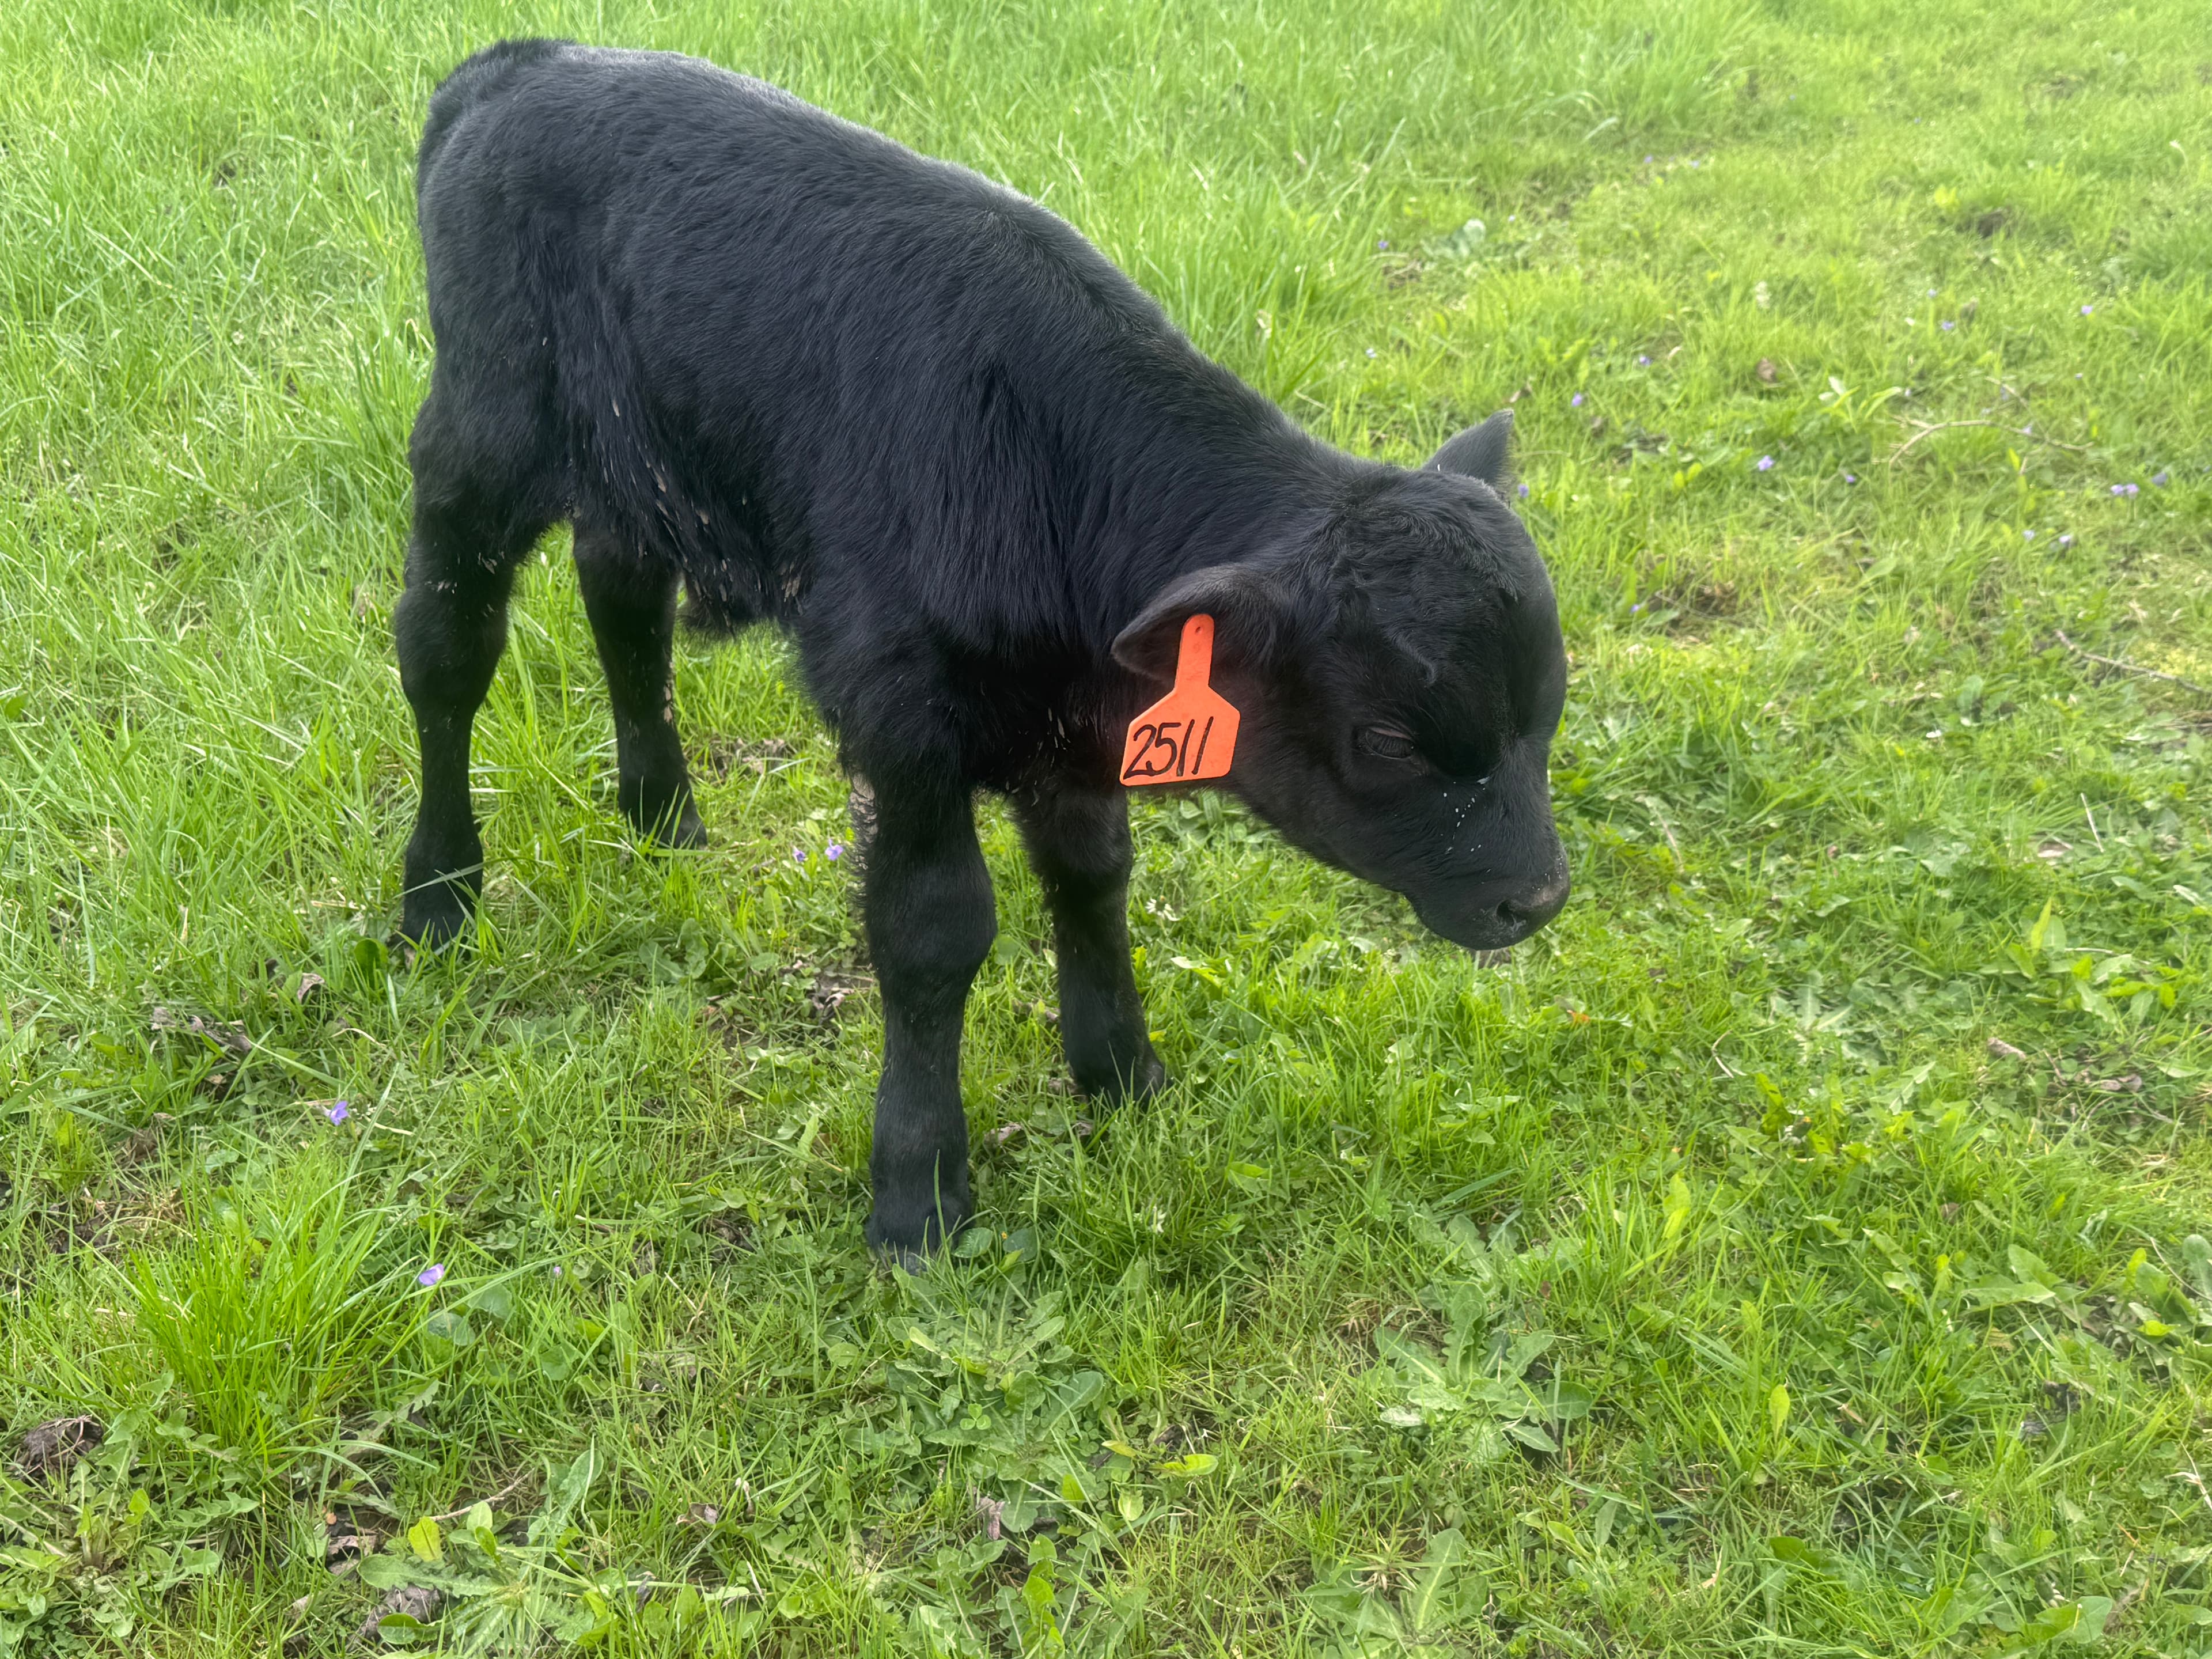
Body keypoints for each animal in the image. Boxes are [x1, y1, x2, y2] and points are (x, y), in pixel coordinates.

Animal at [397, 40, 1572, 1260]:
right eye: (1388, 736)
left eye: (1548, 712)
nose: (1537, 900)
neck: (1038, 463)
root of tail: (524, 62)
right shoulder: (902, 716)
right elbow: (934, 929)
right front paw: (918, 1191)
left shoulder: (1085, 730)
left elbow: (1094, 874)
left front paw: (1123, 1076)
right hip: (477, 441)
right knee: (444, 654)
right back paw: (438, 896)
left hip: (638, 466)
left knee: (620, 595)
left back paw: (661, 812)